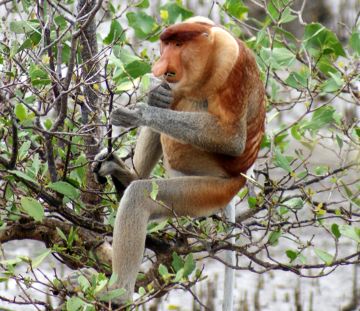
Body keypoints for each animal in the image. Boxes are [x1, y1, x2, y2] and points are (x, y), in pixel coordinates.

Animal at [79, 16, 264, 304]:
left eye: (179, 45)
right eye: (165, 44)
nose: (162, 65)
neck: (210, 54)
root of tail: (240, 179)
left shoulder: (232, 63)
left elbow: (232, 138)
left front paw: (139, 113)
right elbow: (166, 95)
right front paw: (155, 95)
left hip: (210, 189)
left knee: (141, 197)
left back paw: (117, 294)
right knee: (173, 102)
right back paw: (126, 172)